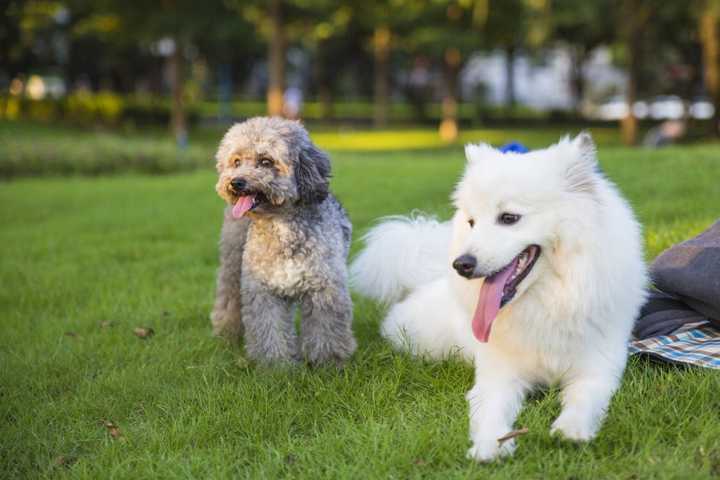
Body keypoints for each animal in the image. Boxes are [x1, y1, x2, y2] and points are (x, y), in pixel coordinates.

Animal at [352, 134, 648, 462]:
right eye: (471, 222)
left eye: (509, 218)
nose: (461, 264)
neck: (547, 303)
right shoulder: (498, 377)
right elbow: (491, 413)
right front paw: (489, 446)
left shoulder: (598, 370)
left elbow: (583, 401)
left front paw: (570, 431)